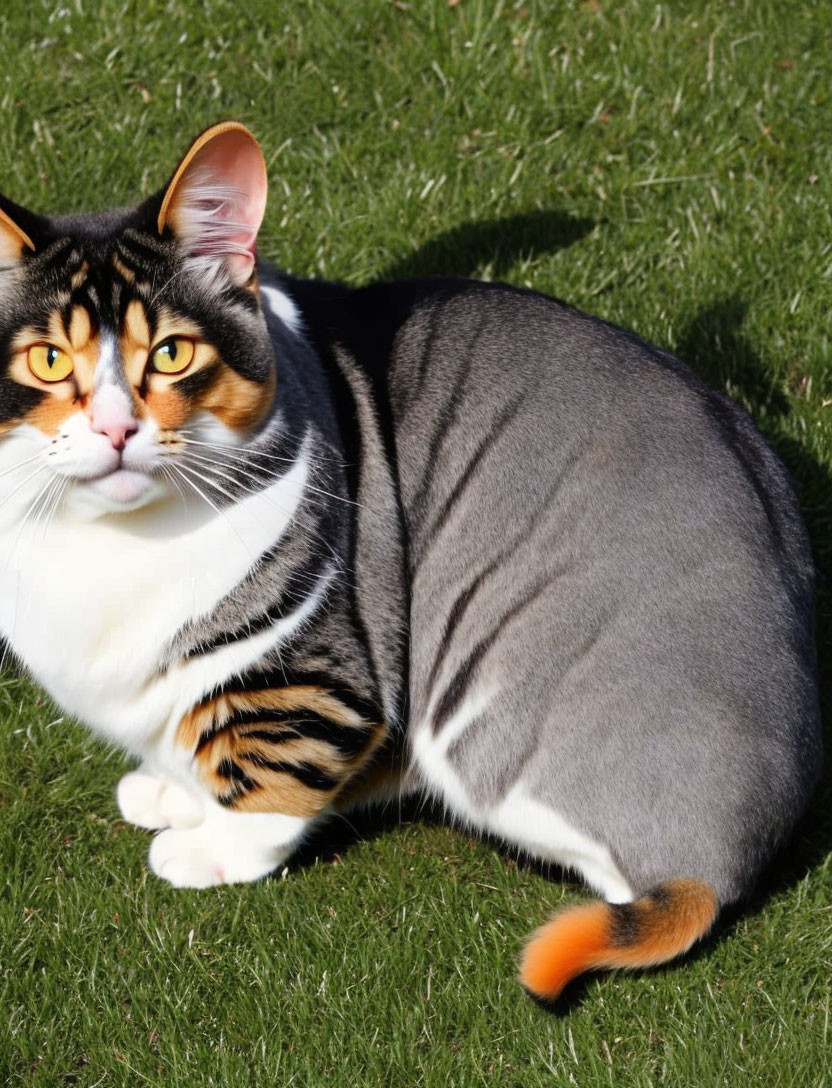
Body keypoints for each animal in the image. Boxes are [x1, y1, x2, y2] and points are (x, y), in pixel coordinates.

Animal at [0, 121, 822, 1000]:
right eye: (48, 361)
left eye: (172, 353)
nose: (116, 429)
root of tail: (722, 862)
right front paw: (170, 788)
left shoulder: (324, 670)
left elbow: (276, 766)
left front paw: (211, 847)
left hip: (482, 714)